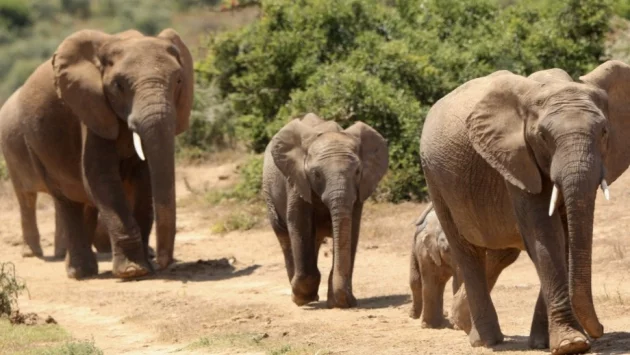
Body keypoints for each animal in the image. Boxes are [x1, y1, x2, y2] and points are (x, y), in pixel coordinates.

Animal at [0, 27, 194, 280]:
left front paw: (144, 266)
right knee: (57, 199)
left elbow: (143, 180)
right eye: (119, 86)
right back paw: (77, 272)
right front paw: (133, 271)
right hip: (30, 147)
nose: (164, 263)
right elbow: (100, 177)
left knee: (83, 201)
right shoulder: (91, 109)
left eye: (179, 80)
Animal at [262, 114, 390, 308]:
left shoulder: (359, 189)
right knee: (285, 237)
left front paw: (340, 302)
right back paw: (299, 296)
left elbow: (352, 229)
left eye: (357, 172)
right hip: (269, 193)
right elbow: (300, 225)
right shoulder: (297, 180)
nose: (347, 301)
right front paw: (302, 299)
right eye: (316, 174)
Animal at [420, 59, 630, 354]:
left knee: (500, 253)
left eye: (604, 132)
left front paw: (548, 342)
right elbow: (545, 235)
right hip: (435, 179)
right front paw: (572, 344)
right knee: (466, 251)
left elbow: (563, 238)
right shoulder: (514, 158)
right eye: (542, 136)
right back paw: (486, 341)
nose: (598, 330)